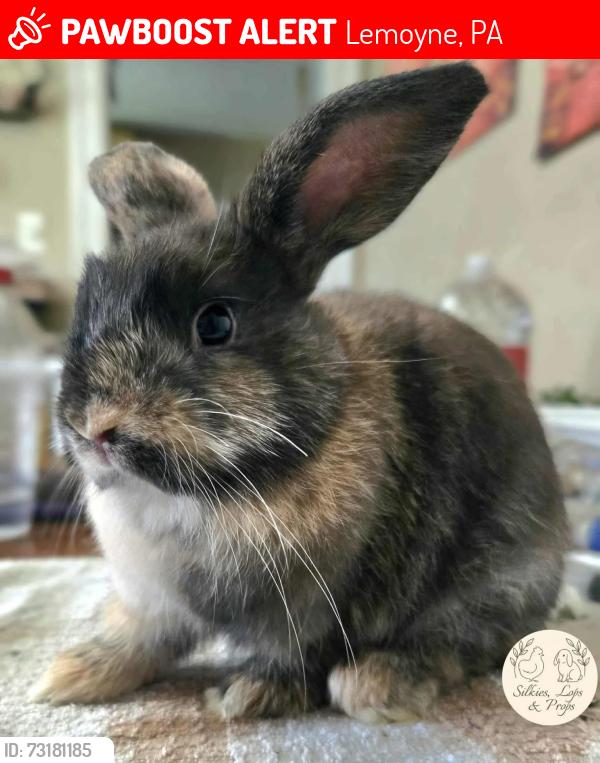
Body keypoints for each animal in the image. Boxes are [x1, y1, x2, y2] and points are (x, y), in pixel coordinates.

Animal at [31, 62, 569, 723]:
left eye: (215, 324)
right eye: (82, 313)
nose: (94, 428)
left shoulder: (311, 614)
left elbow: (296, 659)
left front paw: (247, 696)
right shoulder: (150, 602)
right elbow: (138, 639)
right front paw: (71, 676)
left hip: (498, 580)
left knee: (466, 644)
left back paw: (378, 684)